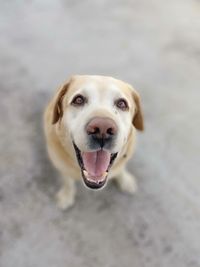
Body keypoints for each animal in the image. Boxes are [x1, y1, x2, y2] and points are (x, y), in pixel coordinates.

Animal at [43, 75, 144, 209]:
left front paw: (125, 180)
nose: (102, 129)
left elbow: (121, 169)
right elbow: (68, 182)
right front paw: (66, 196)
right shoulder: (62, 166)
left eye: (122, 103)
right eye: (78, 100)